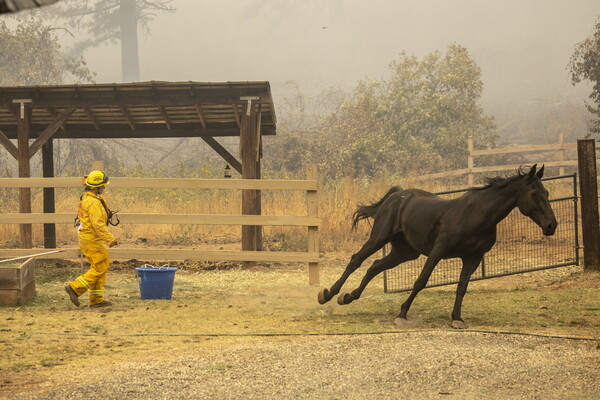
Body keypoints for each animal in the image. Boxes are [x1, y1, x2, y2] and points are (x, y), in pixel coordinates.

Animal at [318, 165, 556, 328]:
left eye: (547, 193)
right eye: (535, 194)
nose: (551, 225)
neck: (477, 215)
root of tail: (397, 195)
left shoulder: (473, 258)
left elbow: (462, 287)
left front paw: (457, 319)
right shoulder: (438, 251)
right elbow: (421, 281)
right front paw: (402, 314)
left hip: (405, 252)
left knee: (374, 266)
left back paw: (347, 298)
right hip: (379, 238)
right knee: (356, 261)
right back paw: (328, 294)